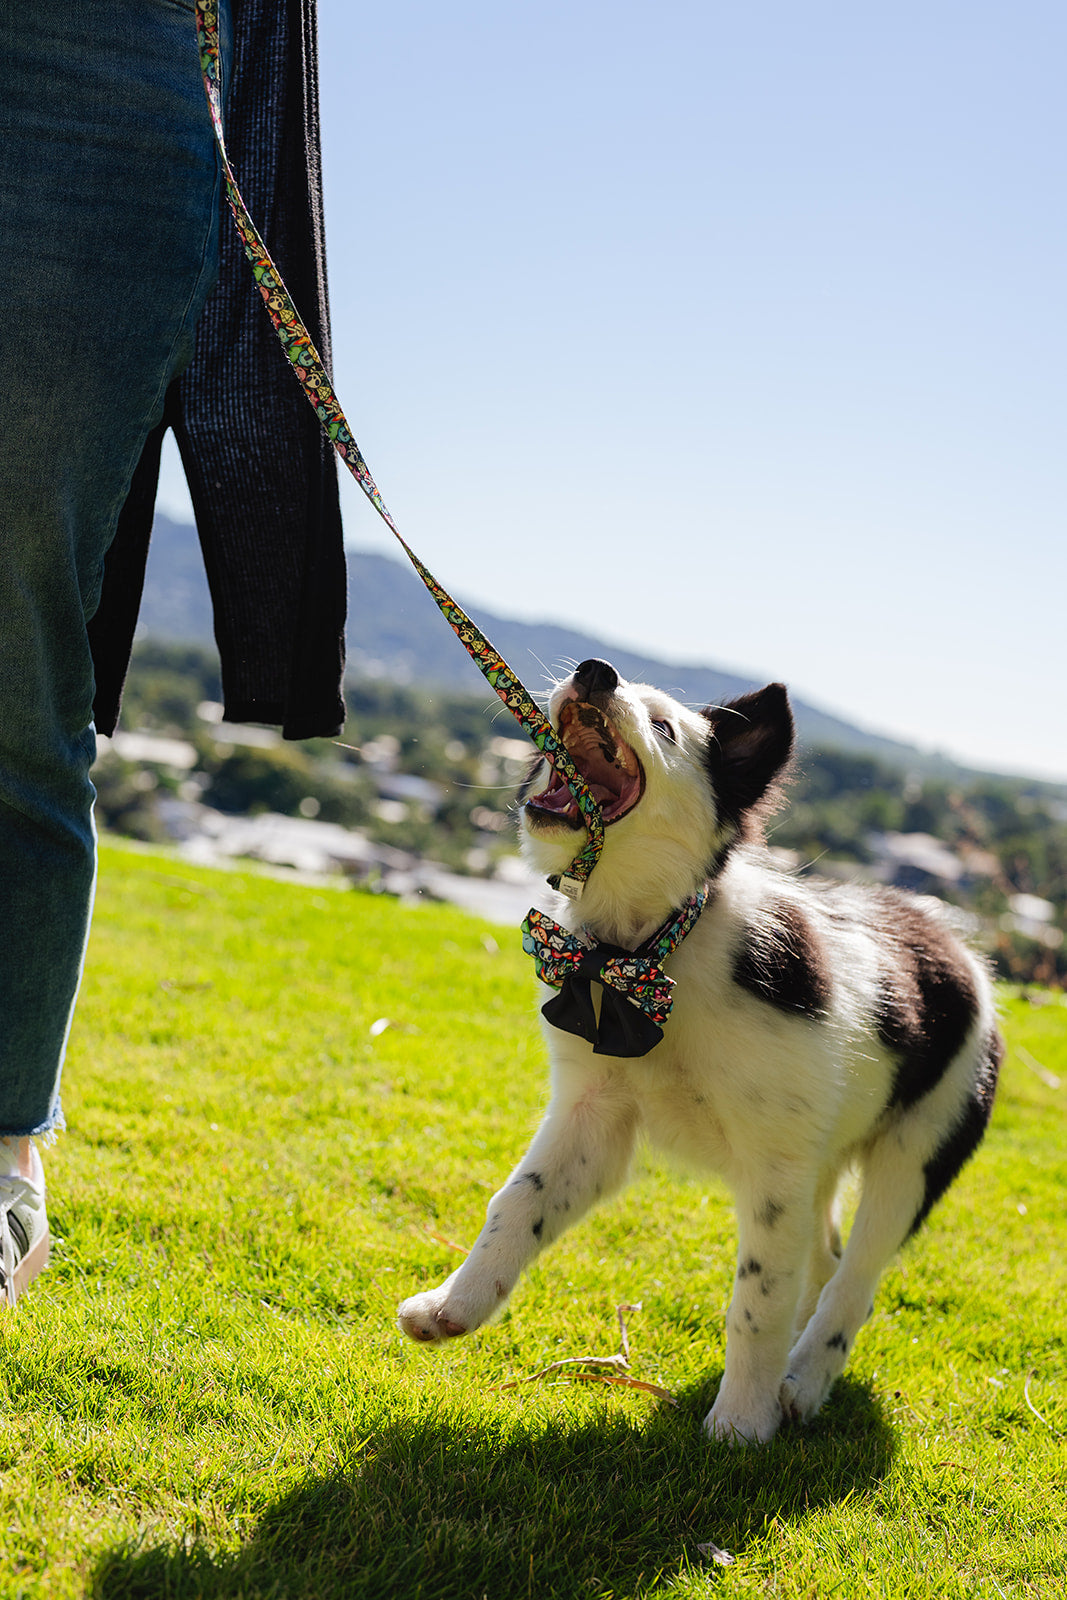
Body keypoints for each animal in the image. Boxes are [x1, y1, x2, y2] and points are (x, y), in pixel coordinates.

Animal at [398, 656, 1004, 1446]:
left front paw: (740, 1422)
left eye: (664, 728)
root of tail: (953, 942)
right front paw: (452, 1307)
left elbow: (757, 1298)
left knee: (855, 1279)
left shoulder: (774, 1167)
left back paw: (801, 1382)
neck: (650, 949)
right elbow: (516, 1203)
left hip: (917, 1149)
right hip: (822, 1155)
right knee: (824, 1259)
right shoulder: (593, 1116)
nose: (594, 670)